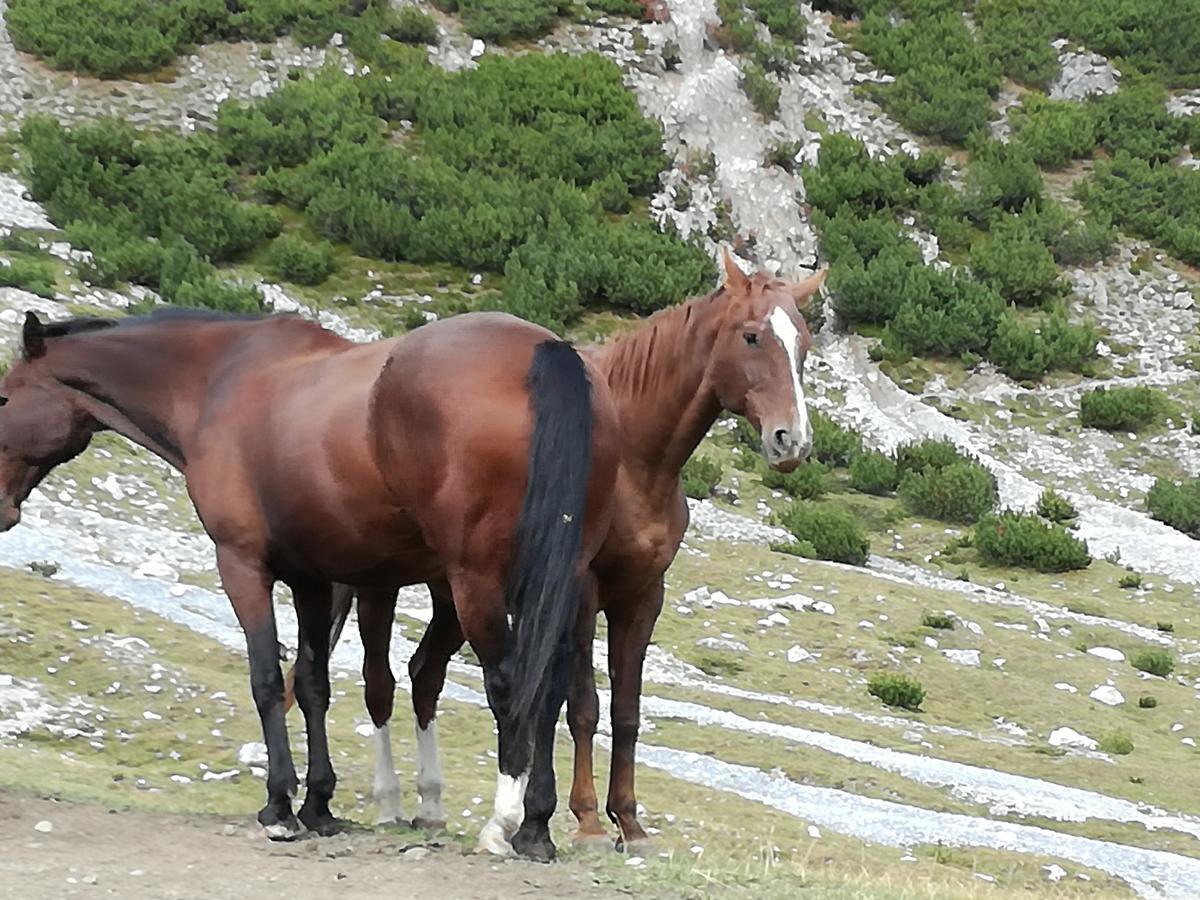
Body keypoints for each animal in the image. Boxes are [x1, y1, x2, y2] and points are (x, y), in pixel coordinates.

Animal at [0, 309, 619, 859]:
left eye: (3, 398)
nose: (2, 509)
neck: (214, 382)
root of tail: (545, 350)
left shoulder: (243, 566)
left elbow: (267, 679)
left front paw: (280, 807)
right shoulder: (313, 579)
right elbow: (313, 683)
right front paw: (319, 805)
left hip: (477, 584)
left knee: (511, 684)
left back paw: (503, 822)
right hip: (557, 580)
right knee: (550, 687)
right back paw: (535, 827)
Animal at [300, 255, 825, 854]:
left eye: (805, 343)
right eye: (752, 335)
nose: (792, 441)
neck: (636, 460)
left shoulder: (643, 597)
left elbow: (625, 711)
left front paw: (629, 823)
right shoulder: (581, 594)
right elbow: (581, 707)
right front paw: (583, 820)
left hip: (456, 595)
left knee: (425, 674)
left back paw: (430, 807)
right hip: (383, 587)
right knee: (379, 682)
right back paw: (388, 804)